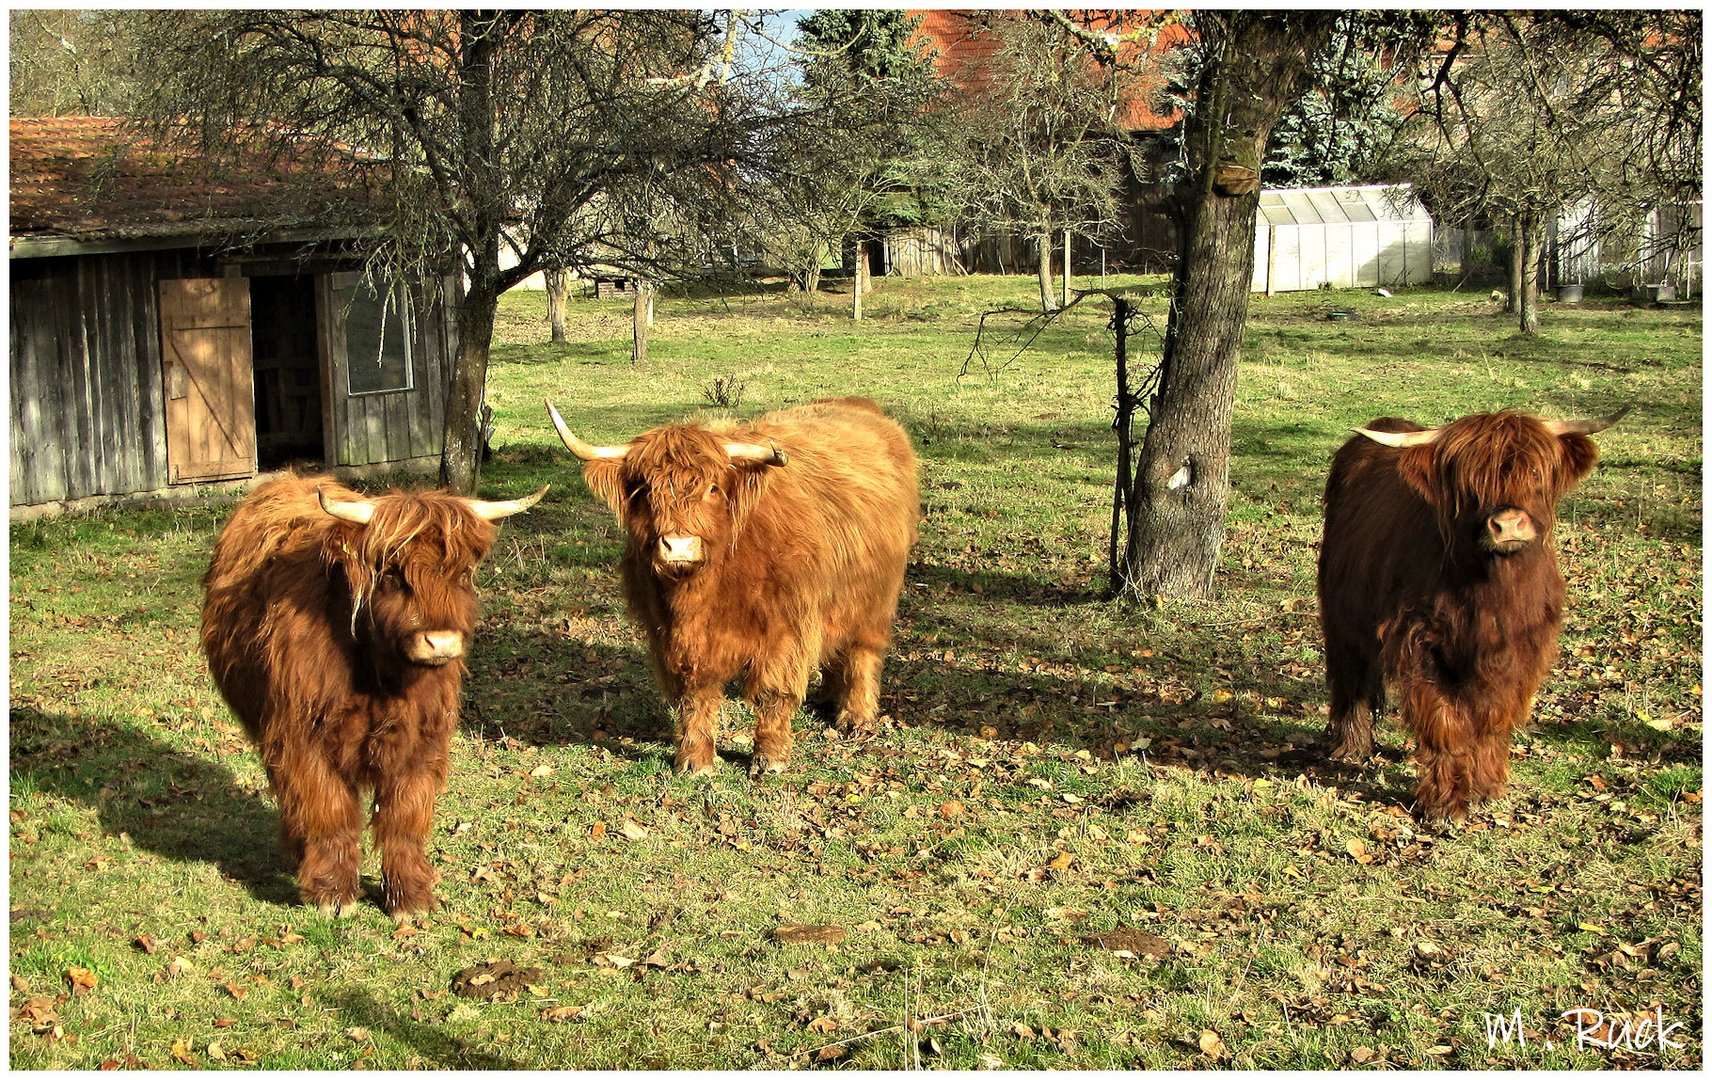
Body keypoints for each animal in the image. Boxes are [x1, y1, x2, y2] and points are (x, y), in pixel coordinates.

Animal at [551, 397, 924, 777]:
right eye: (645, 490)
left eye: (712, 488)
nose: (678, 546)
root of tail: (861, 405)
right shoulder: (674, 637)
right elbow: (694, 695)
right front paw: (695, 760)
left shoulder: (786, 630)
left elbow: (774, 692)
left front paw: (770, 758)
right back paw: (829, 699)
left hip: (875, 600)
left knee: (863, 653)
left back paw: (855, 717)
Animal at [1314, 409, 1622, 824]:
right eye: (1470, 481)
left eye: (1535, 472)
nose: (1508, 524)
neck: (1490, 593)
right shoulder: (1421, 641)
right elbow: (1445, 722)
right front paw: (1445, 802)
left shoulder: (1520, 648)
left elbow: (1493, 720)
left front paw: (1487, 787)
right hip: (1342, 610)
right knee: (1352, 675)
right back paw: (1351, 747)